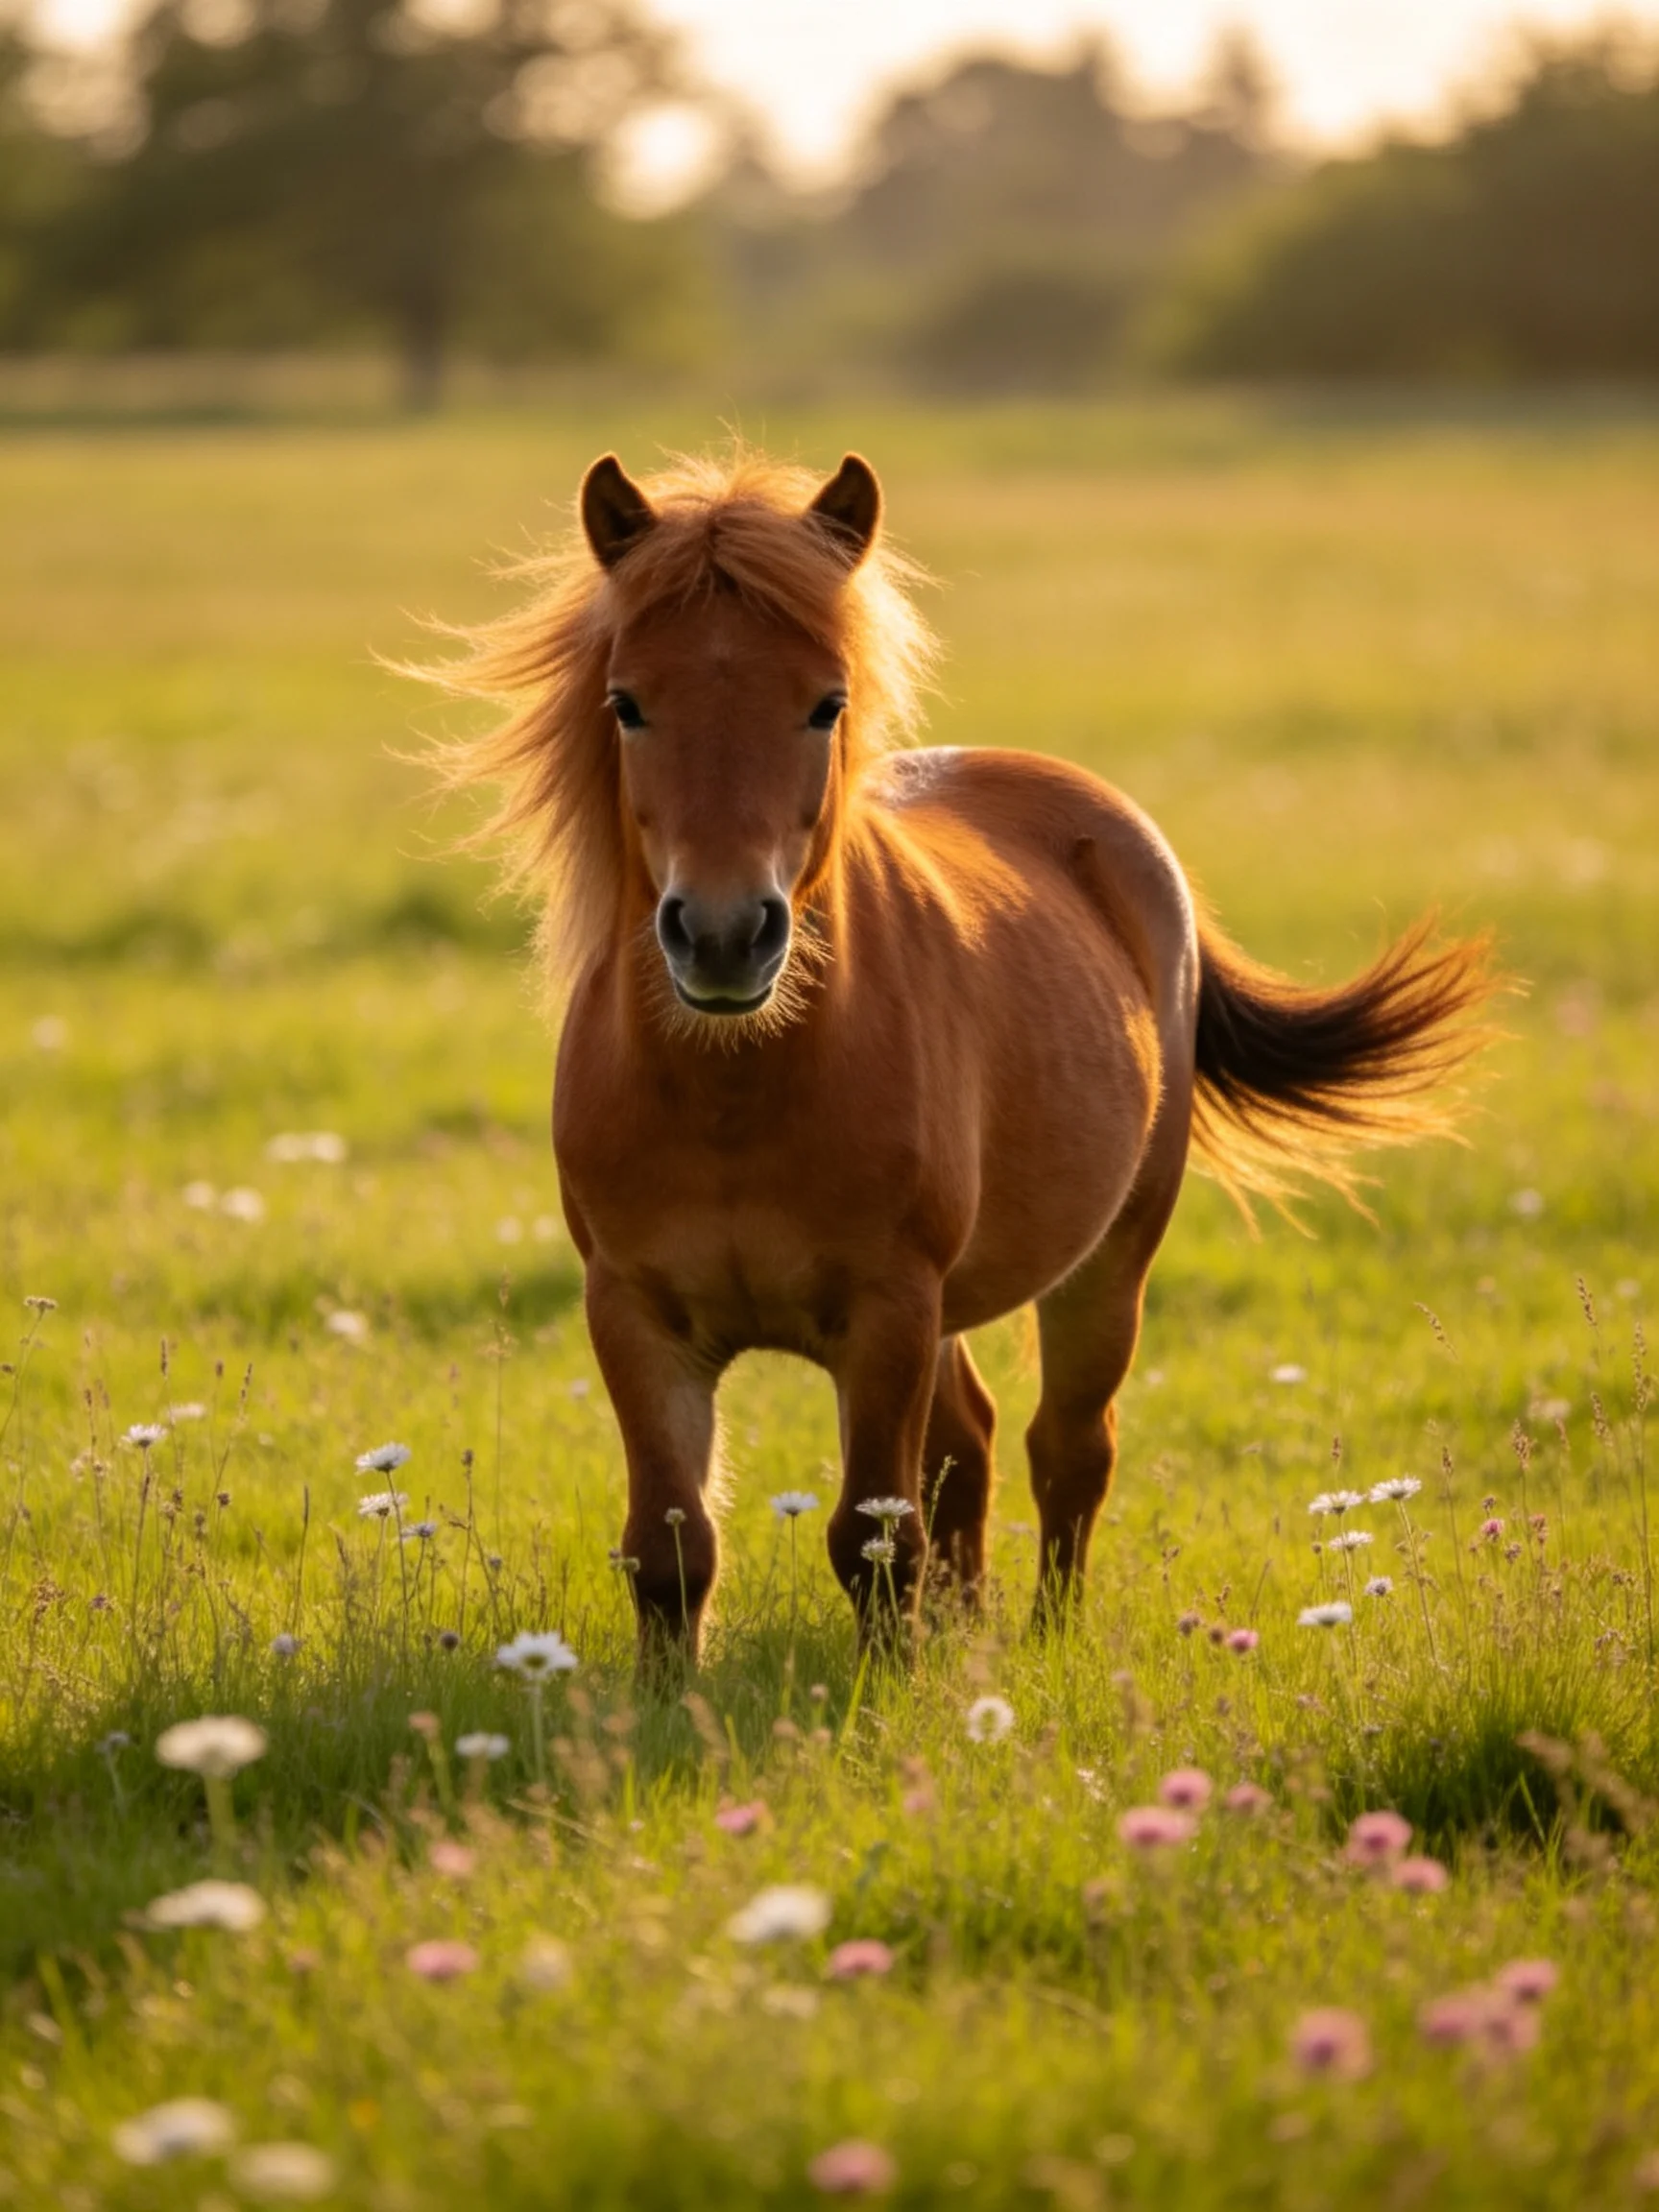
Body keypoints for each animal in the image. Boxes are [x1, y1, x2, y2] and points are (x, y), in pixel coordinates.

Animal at [424, 446, 1492, 1664]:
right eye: (628, 703)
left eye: (826, 703)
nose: (726, 934)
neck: (736, 1093)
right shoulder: (637, 1314)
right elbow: (671, 1547)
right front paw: (668, 1699)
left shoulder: (889, 1312)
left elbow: (869, 1539)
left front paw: (886, 1685)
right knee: (970, 1447)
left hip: (1109, 1260)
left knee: (1065, 1448)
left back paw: (1045, 1638)